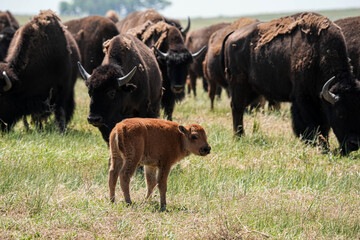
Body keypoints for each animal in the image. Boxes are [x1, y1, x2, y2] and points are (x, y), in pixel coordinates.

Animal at [224, 12, 360, 154]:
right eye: (340, 114)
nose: (354, 144)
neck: (318, 53)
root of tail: (232, 35)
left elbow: (324, 126)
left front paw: (324, 146)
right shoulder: (304, 99)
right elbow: (311, 123)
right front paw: (314, 144)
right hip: (238, 85)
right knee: (237, 108)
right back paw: (239, 136)